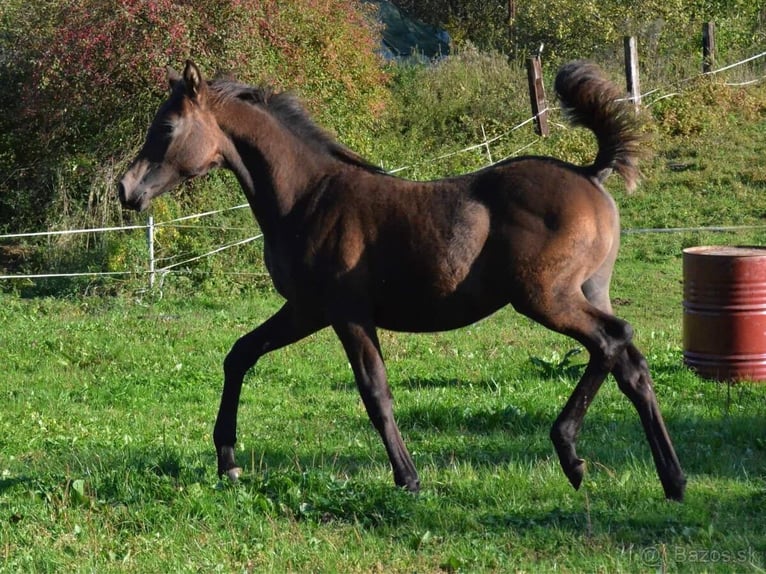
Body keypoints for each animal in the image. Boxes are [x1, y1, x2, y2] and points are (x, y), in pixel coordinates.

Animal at [119, 59, 686, 501]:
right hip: (584, 292)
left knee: (612, 341)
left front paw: (408, 478)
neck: (307, 197)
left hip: (545, 297)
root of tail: (591, 173)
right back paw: (667, 479)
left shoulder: (346, 314)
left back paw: (576, 454)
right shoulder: (305, 311)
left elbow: (375, 391)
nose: (127, 190)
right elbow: (239, 355)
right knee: (628, 362)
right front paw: (228, 461)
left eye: (166, 129)